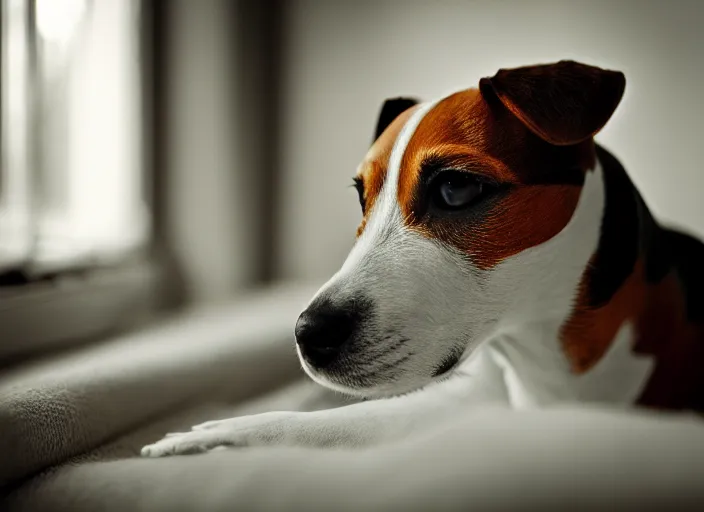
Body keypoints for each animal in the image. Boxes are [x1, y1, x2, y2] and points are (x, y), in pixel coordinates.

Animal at [142, 62, 704, 458]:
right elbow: (334, 426)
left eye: (455, 189)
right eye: (361, 197)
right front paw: (219, 435)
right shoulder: (460, 399)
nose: (307, 334)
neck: (539, 351)